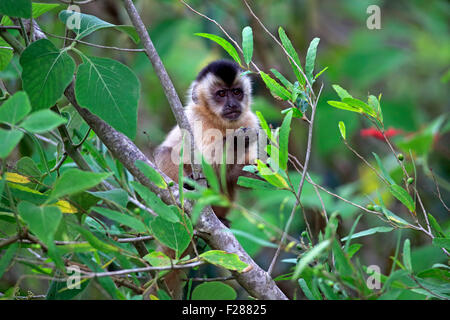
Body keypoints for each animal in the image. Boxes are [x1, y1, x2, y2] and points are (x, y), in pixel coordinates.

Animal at [155, 60, 260, 224]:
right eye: (221, 94)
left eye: (237, 92)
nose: (232, 105)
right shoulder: (198, 119)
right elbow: (203, 161)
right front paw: (237, 139)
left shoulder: (250, 120)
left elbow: (235, 175)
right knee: (165, 153)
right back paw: (188, 185)